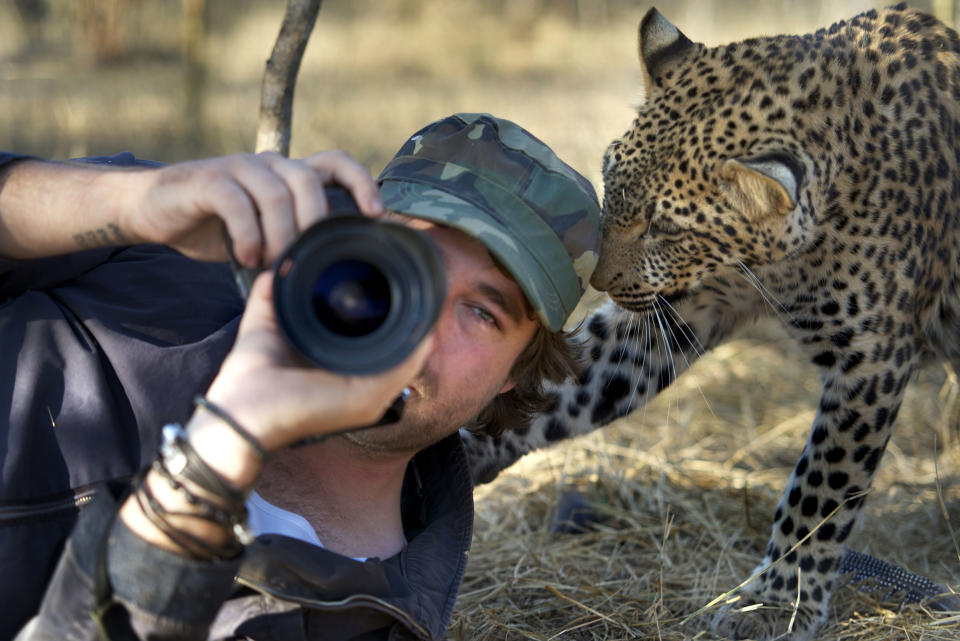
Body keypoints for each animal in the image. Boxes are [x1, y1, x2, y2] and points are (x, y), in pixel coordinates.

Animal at [462, 5, 960, 640]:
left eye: (666, 228)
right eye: (609, 183)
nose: (599, 280)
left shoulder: (870, 357)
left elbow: (821, 488)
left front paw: (776, 600)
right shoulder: (684, 307)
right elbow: (571, 386)